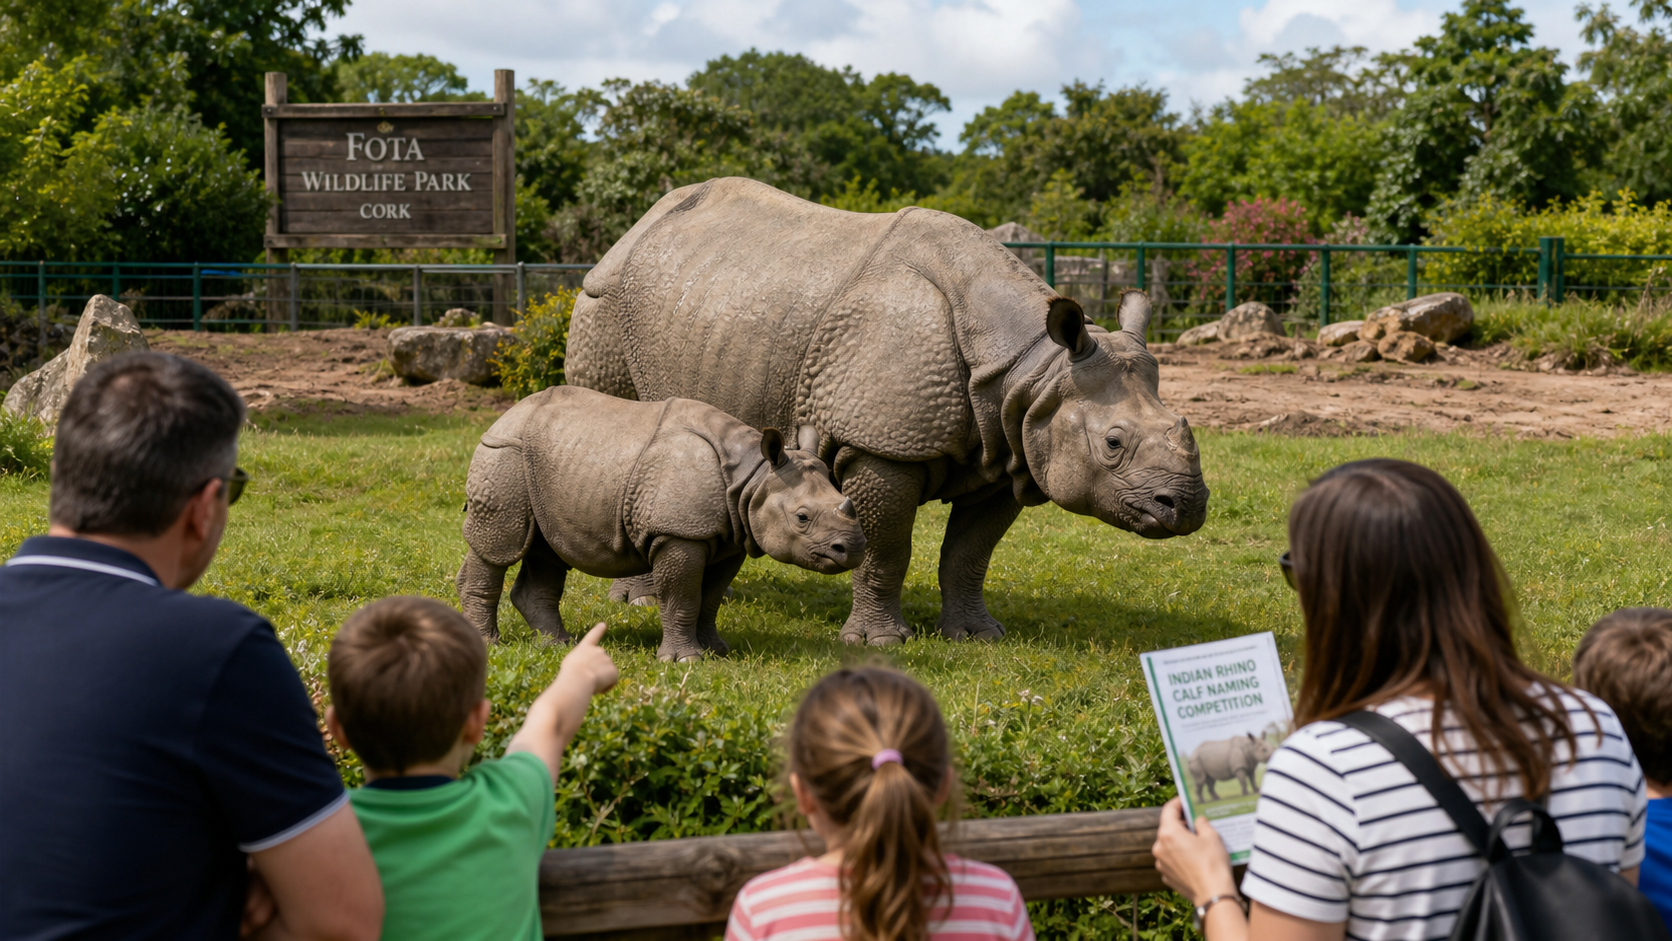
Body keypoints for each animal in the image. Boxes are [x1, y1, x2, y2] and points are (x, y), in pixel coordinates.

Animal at [456, 385, 866, 660]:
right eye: (802, 518)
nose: (853, 549)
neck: (753, 477)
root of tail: (505, 414)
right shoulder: (679, 533)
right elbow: (681, 596)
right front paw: (685, 660)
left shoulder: (730, 536)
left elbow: (710, 597)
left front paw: (717, 651)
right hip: (504, 453)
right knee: (500, 547)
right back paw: (490, 644)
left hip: (546, 468)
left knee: (547, 549)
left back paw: (559, 645)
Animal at [566, 178, 1208, 645]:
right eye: (1113, 444)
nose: (1187, 508)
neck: (1033, 368)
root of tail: (638, 225)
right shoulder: (880, 447)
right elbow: (886, 548)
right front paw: (879, 642)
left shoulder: (1012, 442)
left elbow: (970, 554)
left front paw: (977, 636)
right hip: (603, 298)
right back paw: (639, 600)